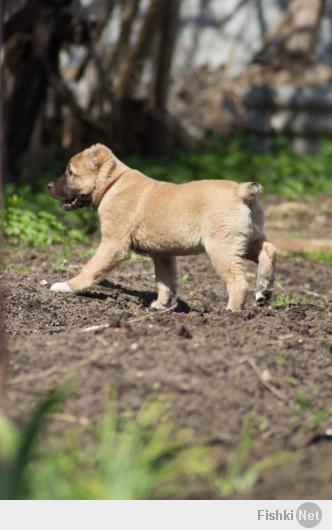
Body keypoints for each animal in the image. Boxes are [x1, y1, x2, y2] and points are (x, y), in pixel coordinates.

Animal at [48, 142, 276, 312]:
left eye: (70, 172)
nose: (49, 186)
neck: (113, 183)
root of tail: (241, 191)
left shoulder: (113, 244)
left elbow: (91, 267)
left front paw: (68, 286)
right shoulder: (162, 254)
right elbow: (165, 281)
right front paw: (161, 306)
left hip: (222, 247)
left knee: (238, 282)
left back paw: (232, 312)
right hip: (245, 240)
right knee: (269, 250)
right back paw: (263, 290)